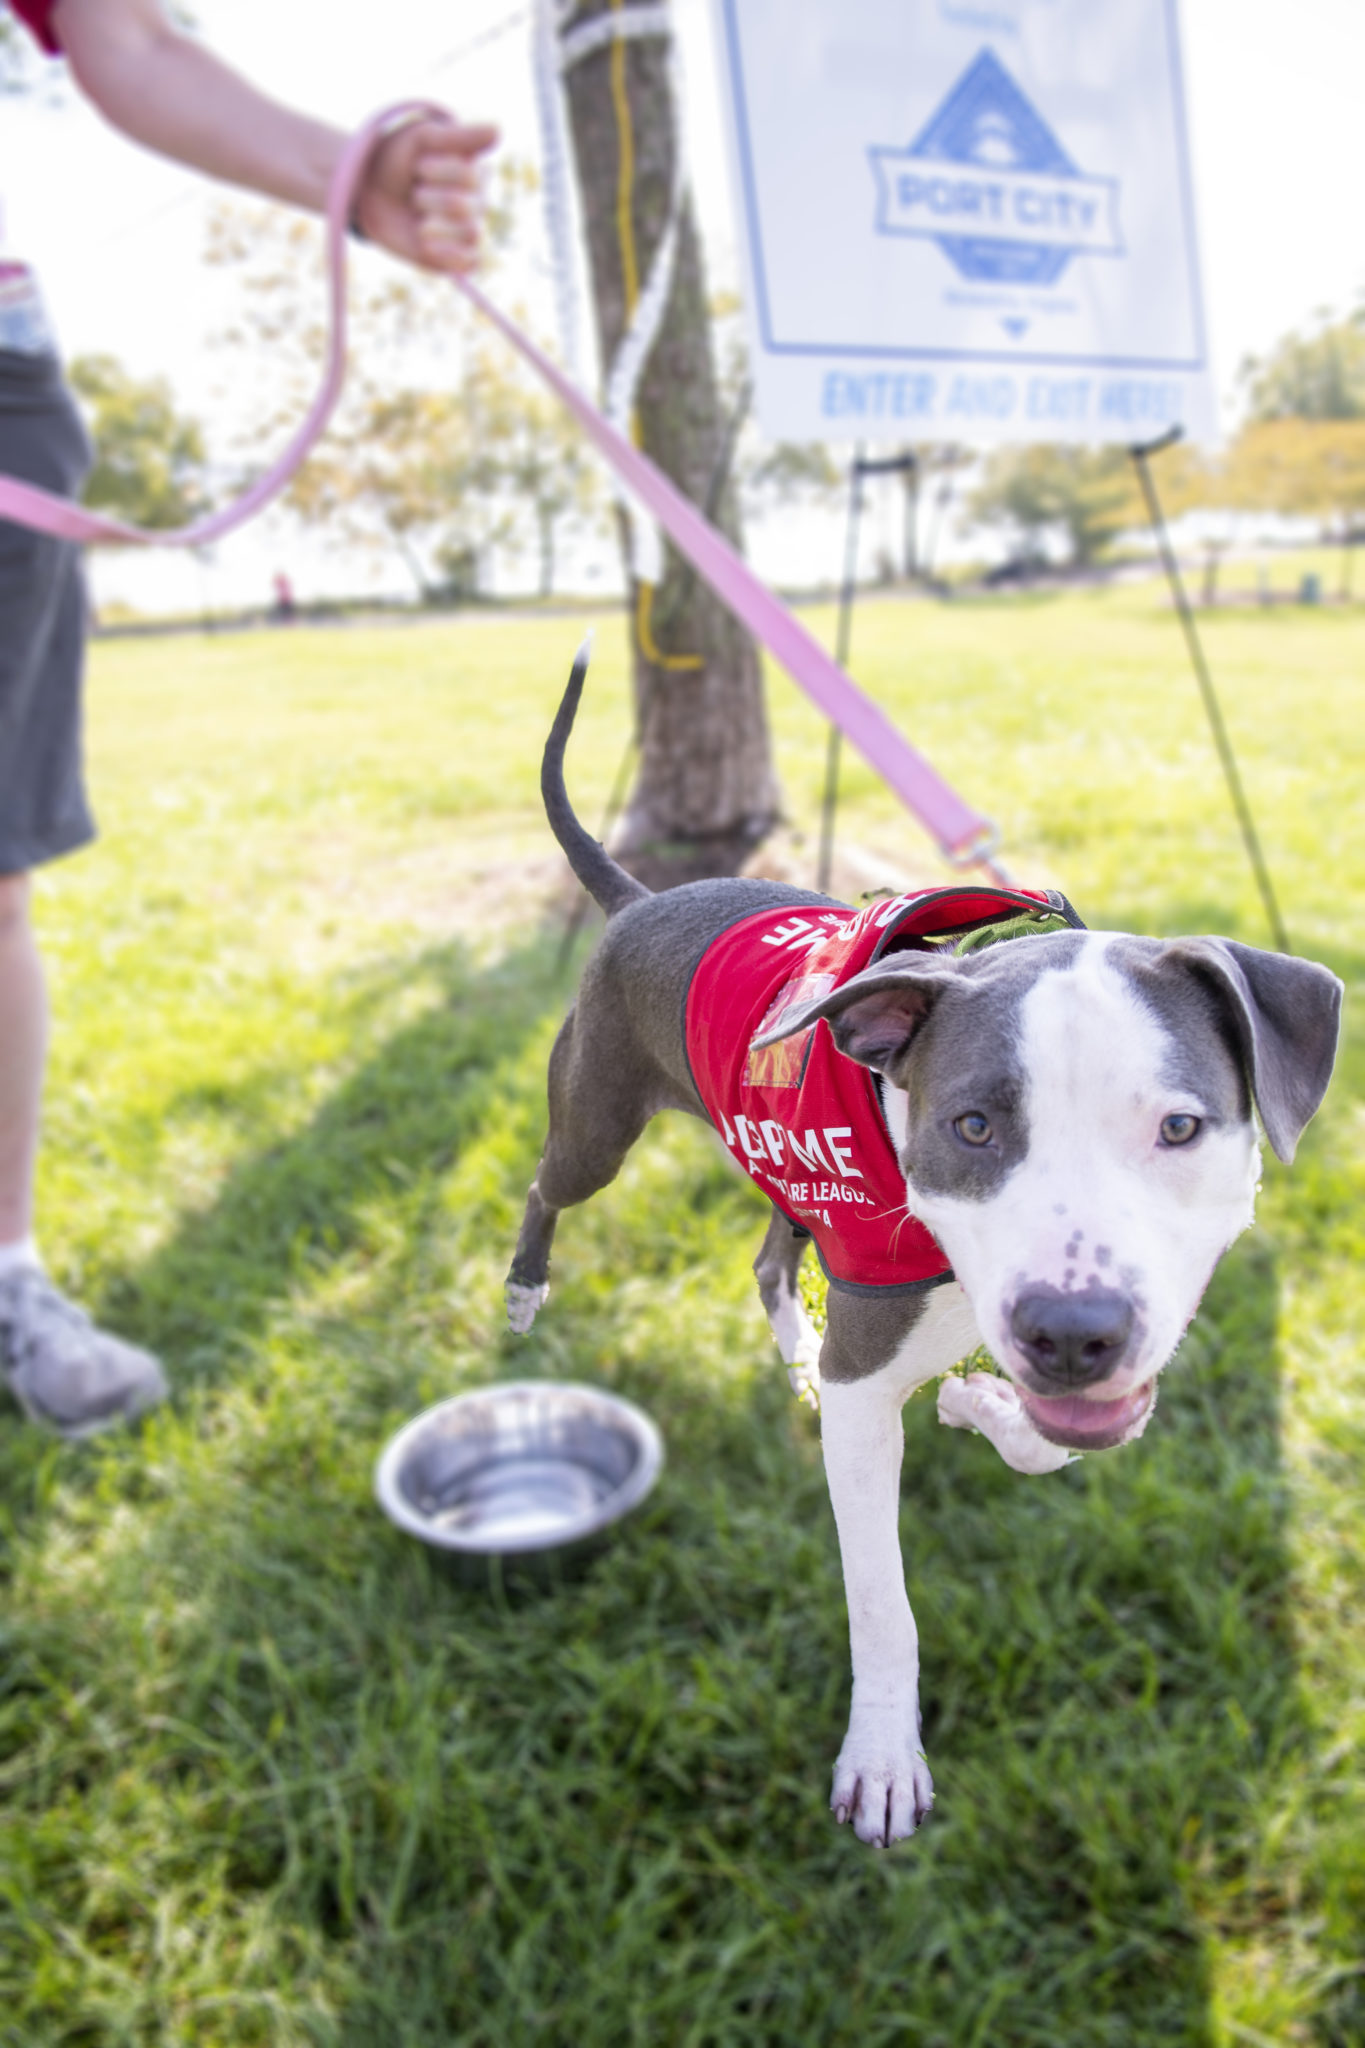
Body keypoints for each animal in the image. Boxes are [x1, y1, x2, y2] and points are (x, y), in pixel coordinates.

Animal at [505, 651, 1342, 1843]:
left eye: (1180, 1127)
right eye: (973, 1125)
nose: (1072, 1334)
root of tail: (640, 898)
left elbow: (1048, 1438)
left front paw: (976, 1405)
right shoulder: (870, 1385)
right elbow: (882, 1601)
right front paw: (883, 1759)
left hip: (785, 1186)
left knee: (769, 1261)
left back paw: (796, 1358)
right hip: (596, 1125)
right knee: (546, 1183)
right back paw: (526, 1292)